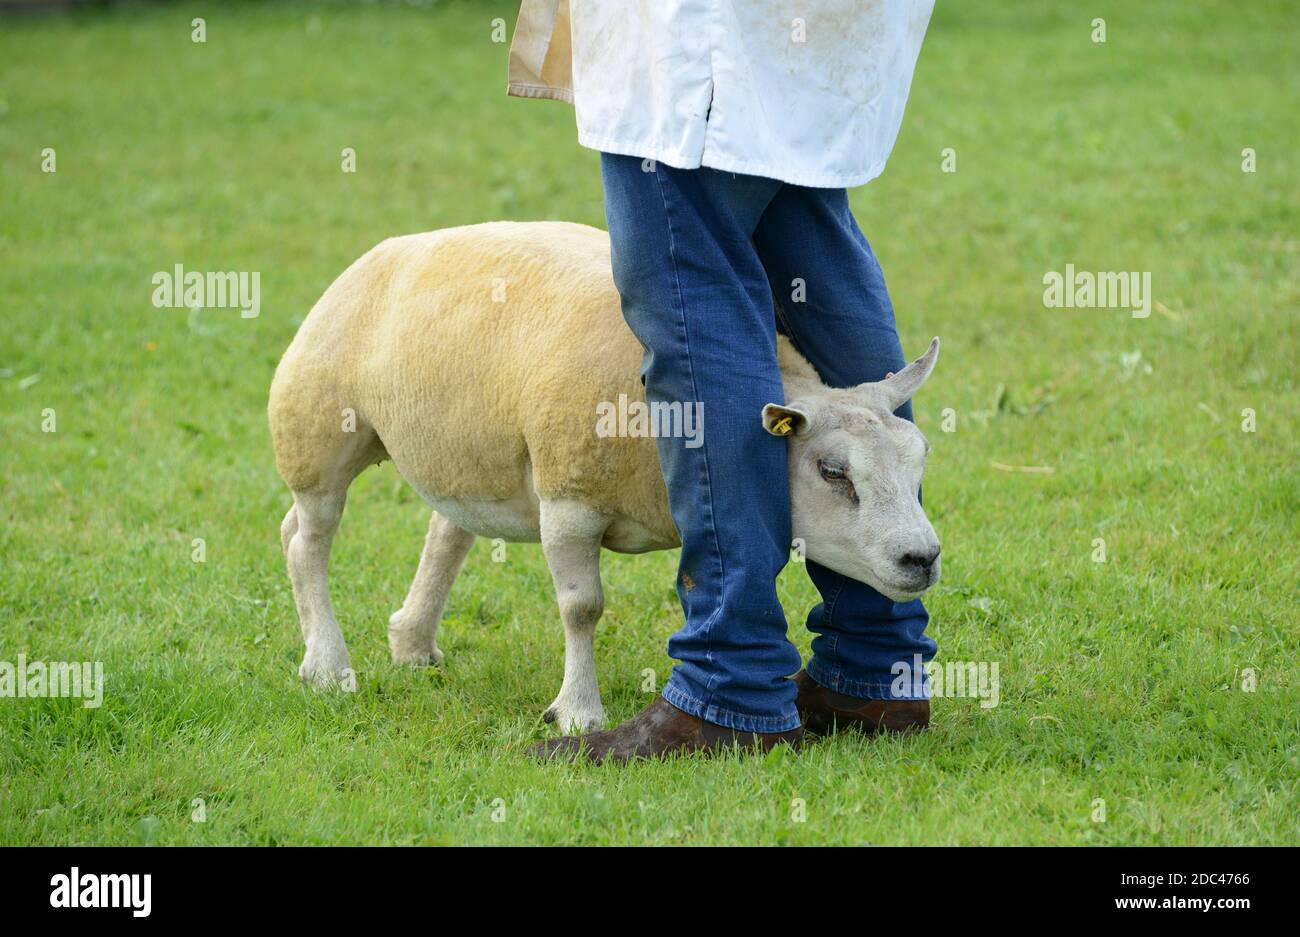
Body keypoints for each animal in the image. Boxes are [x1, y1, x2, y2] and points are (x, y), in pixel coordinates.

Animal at [268, 221, 940, 732]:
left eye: (919, 457)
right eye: (832, 472)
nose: (922, 559)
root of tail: (385, 251)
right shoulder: (569, 502)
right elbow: (582, 609)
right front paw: (577, 714)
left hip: (469, 453)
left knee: (444, 533)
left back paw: (410, 642)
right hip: (317, 437)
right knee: (305, 542)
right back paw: (327, 666)